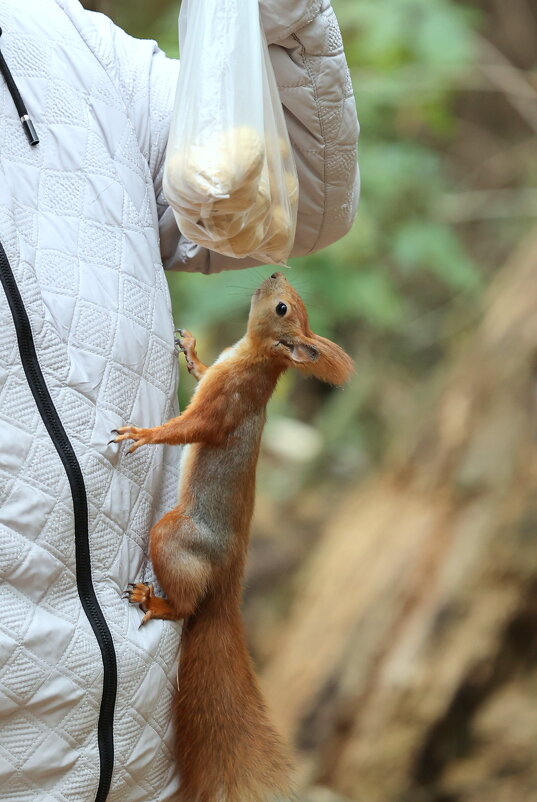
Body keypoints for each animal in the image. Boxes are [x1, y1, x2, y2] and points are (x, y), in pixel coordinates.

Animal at [111, 274, 354, 800]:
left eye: (283, 308)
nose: (274, 274)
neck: (252, 355)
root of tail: (227, 580)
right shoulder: (217, 379)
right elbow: (200, 372)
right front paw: (190, 348)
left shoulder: (228, 400)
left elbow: (191, 427)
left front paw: (143, 433)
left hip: (173, 536)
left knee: (184, 606)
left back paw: (155, 601)